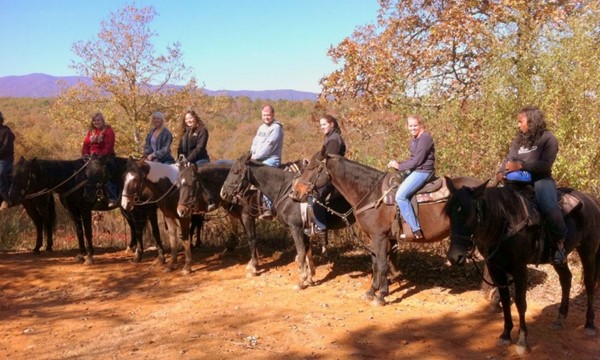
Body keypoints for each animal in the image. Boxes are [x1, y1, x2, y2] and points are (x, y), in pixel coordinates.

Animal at [220, 152, 354, 290]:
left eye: (236, 171)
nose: (223, 193)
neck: (286, 191)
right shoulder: (304, 229)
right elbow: (307, 251)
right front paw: (310, 277)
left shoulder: (294, 228)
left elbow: (300, 252)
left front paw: (301, 281)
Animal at [290, 148, 482, 306]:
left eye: (312, 168)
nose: (295, 193)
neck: (371, 194)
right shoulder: (375, 238)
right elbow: (376, 263)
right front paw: (372, 291)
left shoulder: (380, 236)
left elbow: (382, 264)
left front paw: (381, 296)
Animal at [446, 180, 600, 354]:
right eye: (449, 213)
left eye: (470, 214)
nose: (454, 257)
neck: (507, 222)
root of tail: (592, 201)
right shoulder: (495, 268)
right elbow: (505, 300)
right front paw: (506, 335)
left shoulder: (519, 268)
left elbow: (520, 303)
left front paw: (522, 340)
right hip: (559, 258)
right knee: (566, 279)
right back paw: (560, 318)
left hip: (588, 251)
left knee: (589, 284)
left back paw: (589, 324)